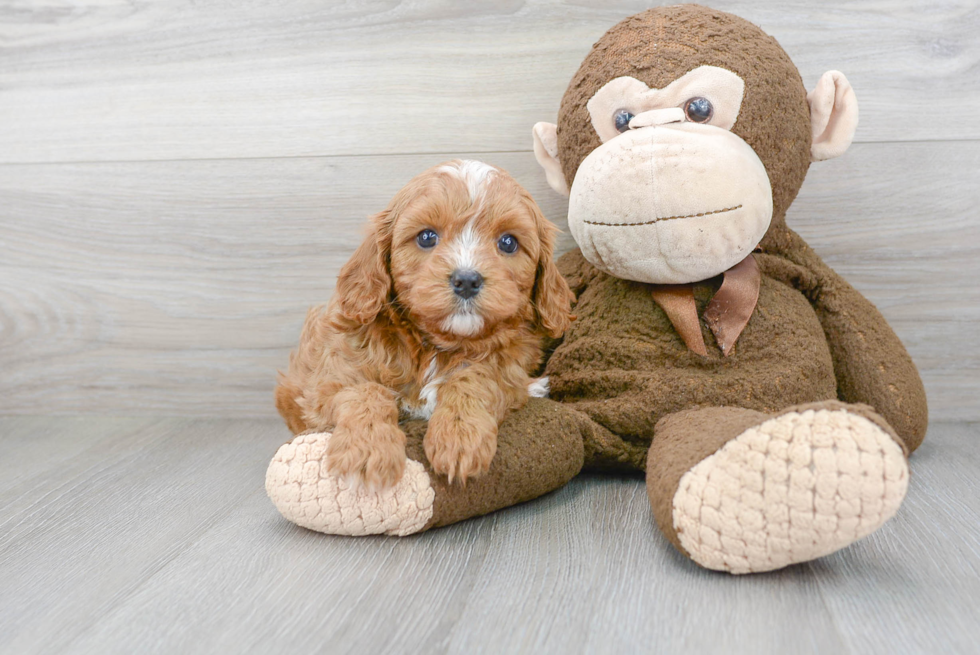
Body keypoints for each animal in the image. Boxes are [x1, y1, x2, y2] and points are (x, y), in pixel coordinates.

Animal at [272, 161, 576, 490]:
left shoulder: (509, 368)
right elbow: (363, 390)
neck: (436, 347)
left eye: (508, 243)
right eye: (427, 237)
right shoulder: (327, 380)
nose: (466, 280)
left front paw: (460, 435)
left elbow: (476, 376)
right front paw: (367, 449)